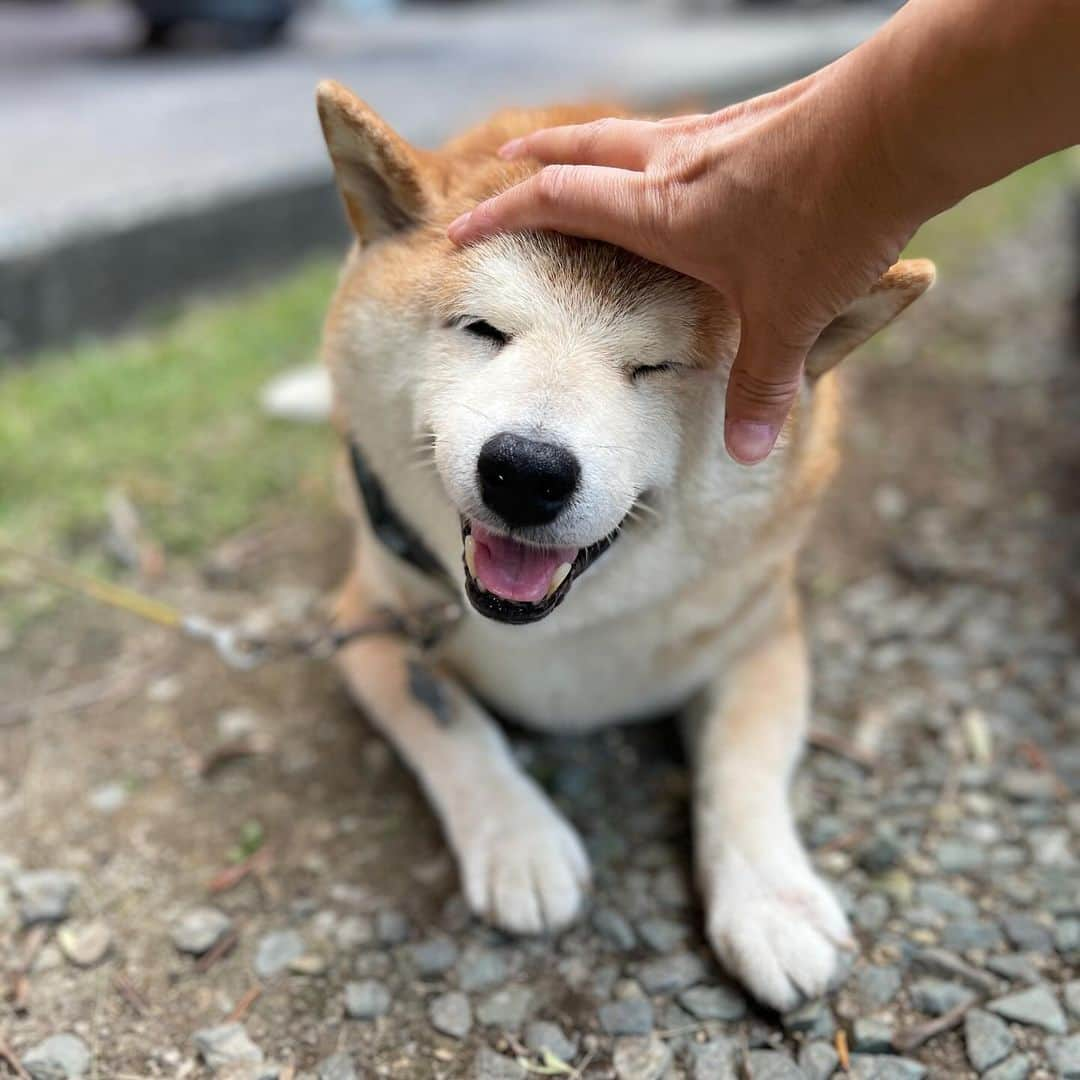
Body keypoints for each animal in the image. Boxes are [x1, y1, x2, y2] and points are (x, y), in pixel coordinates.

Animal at [315, 78, 937, 1010]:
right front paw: (519, 839)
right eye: (482, 329)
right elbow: (452, 727)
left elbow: (743, 766)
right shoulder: (368, 622)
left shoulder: (762, 630)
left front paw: (771, 902)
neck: (556, 635)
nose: (526, 471)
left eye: (655, 368)